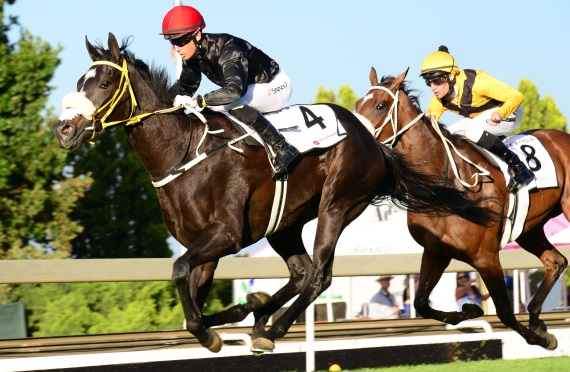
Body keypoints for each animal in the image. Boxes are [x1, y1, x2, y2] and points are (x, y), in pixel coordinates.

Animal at [53, 35, 494, 354]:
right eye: (78, 84)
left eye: (104, 83)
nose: (64, 129)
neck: (184, 152)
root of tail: (374, 142)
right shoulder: (203, 244)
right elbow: (191, 296)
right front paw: (235, 313)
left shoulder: (225, 235)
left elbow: (180, 275)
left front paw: (215, 332)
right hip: (284, 223)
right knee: (300, 272)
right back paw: (258, 315)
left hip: (338, 204)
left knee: (318, 275)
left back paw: (272, 328)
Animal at [356, 66, 568, 348]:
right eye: (358, 104)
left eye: (380, 105)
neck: (445, 183)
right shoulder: (436, 251)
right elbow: (421, 303)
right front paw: (470, 310)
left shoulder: (486, 256)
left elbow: (504, 312)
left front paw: (542, 339)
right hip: (529, 227)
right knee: (555, 262)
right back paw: (535, 316)